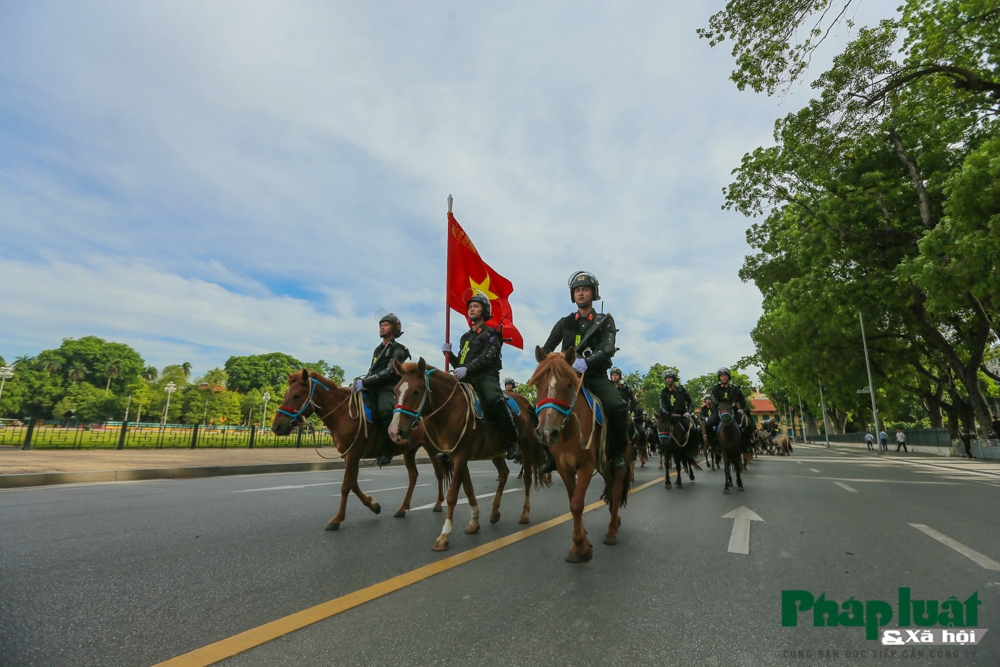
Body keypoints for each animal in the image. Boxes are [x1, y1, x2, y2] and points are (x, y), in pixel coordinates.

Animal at [274, 366, 446, 532]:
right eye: (286, 394)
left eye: (296, 396)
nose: (276, 426)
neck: (343, 414)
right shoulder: (350, 456)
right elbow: (353, 484)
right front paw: (374, 506)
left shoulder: (352, 454)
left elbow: (345, 486)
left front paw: (337, 519)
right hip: (409, 451)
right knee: (413, 475)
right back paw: (403, 508)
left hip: (431, 448)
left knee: (439, 472)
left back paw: (438, 503)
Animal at [388, 360, 548, 552]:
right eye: (396, 390)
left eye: (416, 391)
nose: (394, 432)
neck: (450, 410)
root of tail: (526, 403)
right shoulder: (456, 458)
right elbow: (469, 489)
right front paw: (474, 523)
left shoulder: (460, 457)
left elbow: (452, 496)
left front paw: (444, 535)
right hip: (495, 452)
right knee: (503, 473)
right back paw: (494, 512)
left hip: (526, 446)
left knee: (527, 478)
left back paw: (524, 514)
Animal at [524, 350, 632, 564]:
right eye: (538, 384)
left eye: (568, 384)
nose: (547, 432)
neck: (568, 429)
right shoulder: (564, 467)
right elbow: (572, 500)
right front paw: (581, 541)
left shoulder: (586, 466)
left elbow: (577, 503)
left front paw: (581, 547)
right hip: (604, 465)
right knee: (610, 487)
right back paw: (615, 520)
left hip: (620, 464)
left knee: (616, 492)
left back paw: (611, 531)